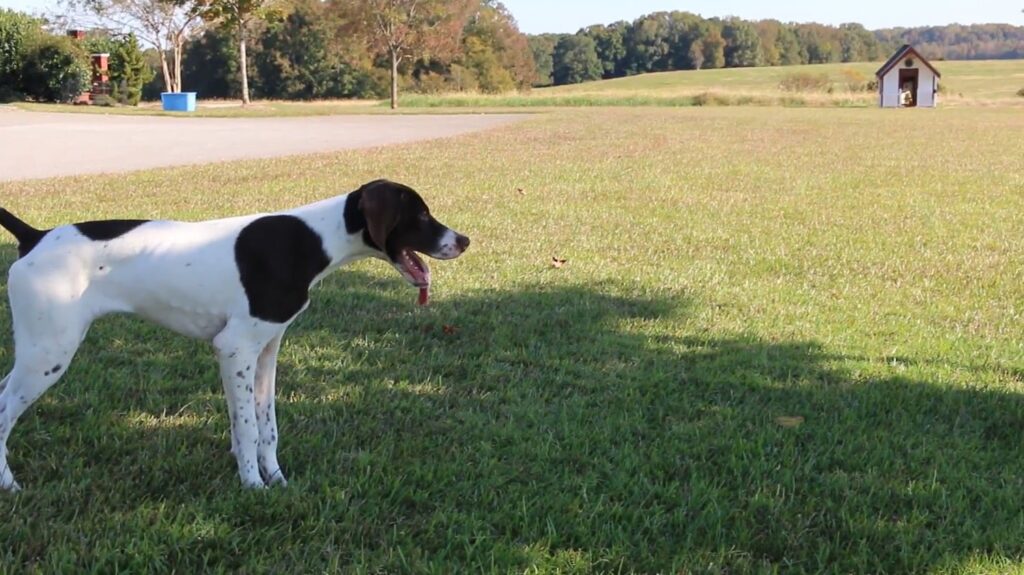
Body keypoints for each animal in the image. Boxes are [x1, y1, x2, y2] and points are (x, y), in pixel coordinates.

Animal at [0, 179, 468, 487]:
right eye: (421, 215)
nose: (463, 240)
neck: (313, 240)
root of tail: (36, 237)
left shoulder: (266, 350)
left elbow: (266, 425)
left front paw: (276, 479)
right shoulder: (234, 349)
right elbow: (246, 427)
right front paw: (252, 486)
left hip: (37, 353)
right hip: (49, 354)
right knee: (4, 413)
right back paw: (9, 485)